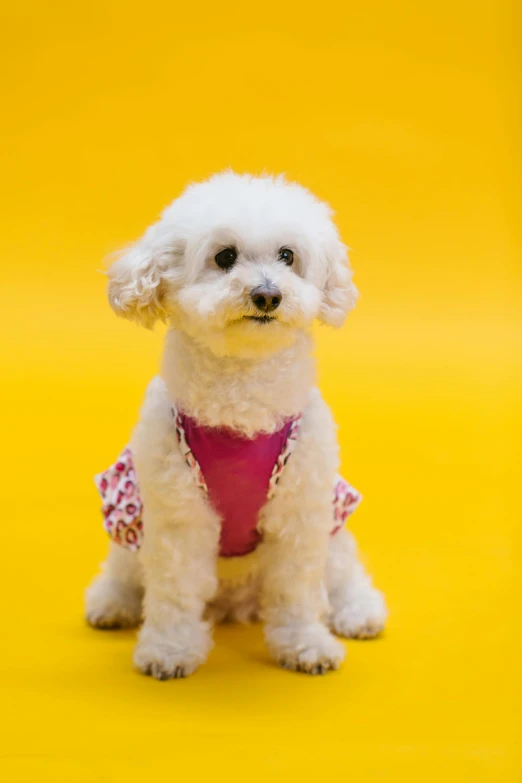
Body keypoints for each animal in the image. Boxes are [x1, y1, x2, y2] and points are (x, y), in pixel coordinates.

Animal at [86, 173, 386, 680]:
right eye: (224, 257)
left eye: (287, 255)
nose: (267, 294)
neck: (242, 399)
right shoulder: (178, 516)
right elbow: (174, 591)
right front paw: (169, 649)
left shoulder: (300, 513)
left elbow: (297, 591)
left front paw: (306, 645)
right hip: (130, 520)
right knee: (125, 568)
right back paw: (112, 602)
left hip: (333, 522)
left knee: (343, 570)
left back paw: (359, 610)